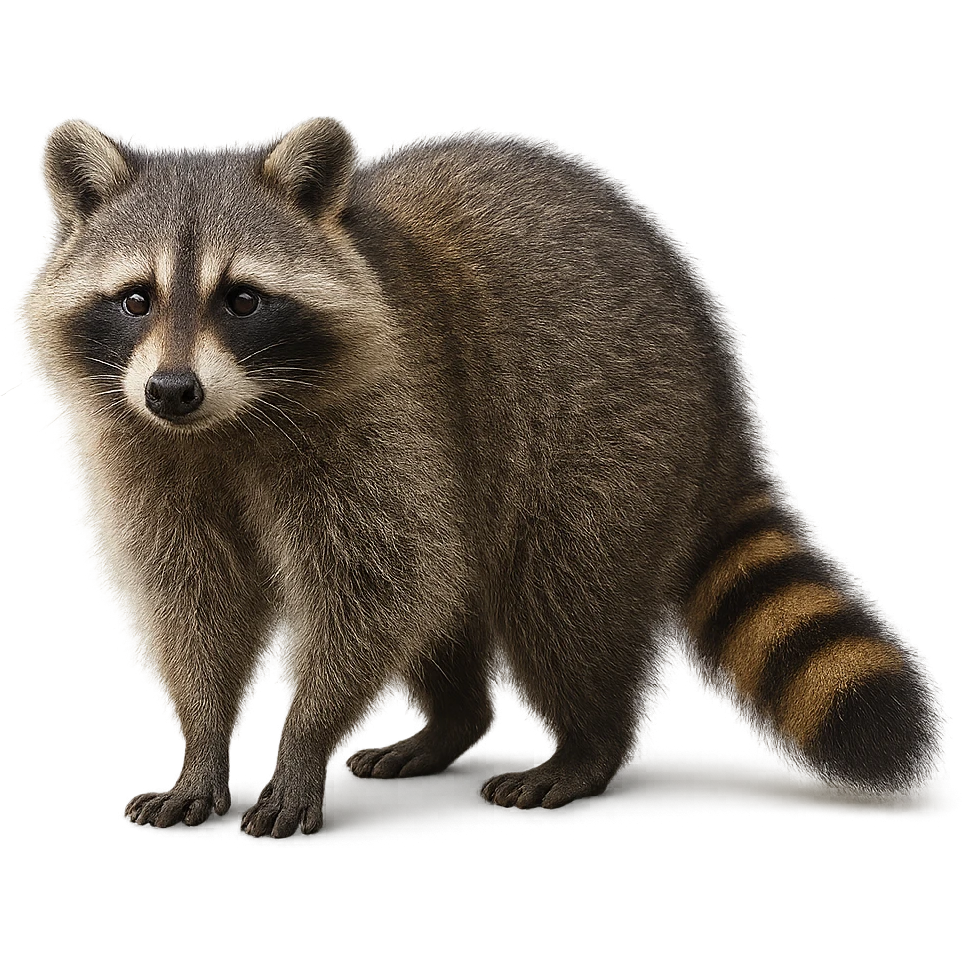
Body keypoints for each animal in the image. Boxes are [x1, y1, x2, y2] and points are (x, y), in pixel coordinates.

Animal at [30, 118, 932, 837]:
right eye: (136, 299)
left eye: (243, 300)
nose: (172, 390)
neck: (229, 421)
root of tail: (719, 401)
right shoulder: (155, 450)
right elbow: (203, 595)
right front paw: (203, 742)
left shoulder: (387, 412)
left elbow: (378, 584)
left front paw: (301, 741)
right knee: (456, 590)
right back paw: (453, 719)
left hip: (616, 434)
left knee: (562, 597)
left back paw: (587, 745)